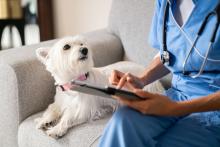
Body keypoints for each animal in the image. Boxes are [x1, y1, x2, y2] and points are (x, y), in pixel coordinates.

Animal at [34, 36, 165, 138]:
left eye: (82, 44)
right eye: (66, 47)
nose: (85, 50)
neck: (73, 81)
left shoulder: (85, 109)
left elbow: (68, 117)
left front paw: (57, 129)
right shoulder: (60, 102)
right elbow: (52, 109)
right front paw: (44, 120)